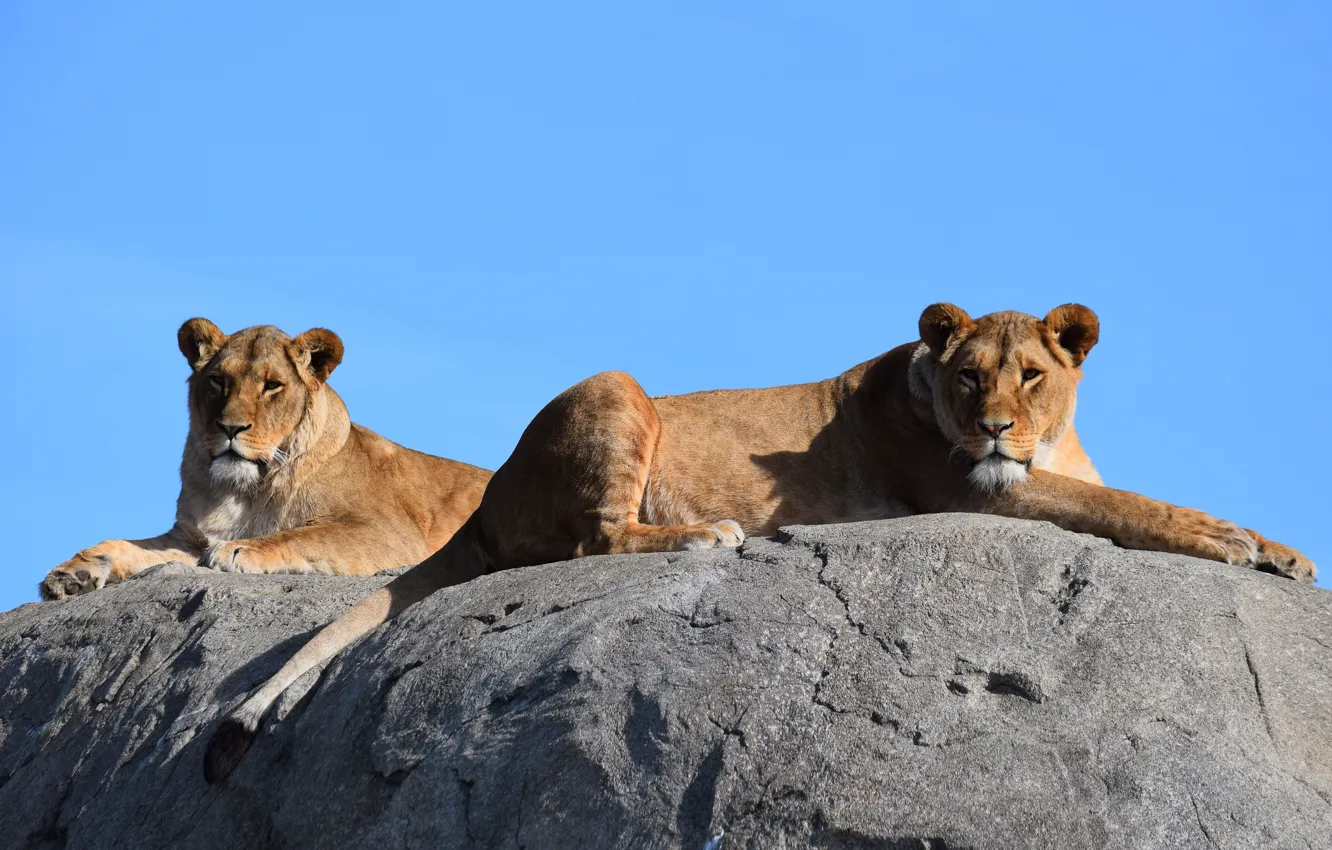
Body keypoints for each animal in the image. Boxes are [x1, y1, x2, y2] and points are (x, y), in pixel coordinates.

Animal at [40, 318, 491, 601]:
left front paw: (240, 549)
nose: (230, 428)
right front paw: (71, 572)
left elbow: (303, 535)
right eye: (217, 381)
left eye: (272, 386)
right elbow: (124, 545)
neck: (247, 490)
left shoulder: (391, 534)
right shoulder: (188, 539)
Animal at [203, 303, 1314, 782]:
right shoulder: (984, 494)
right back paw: (711, 532)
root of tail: (488, 492)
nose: (996, 428)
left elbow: (1129, 493)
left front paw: (1287, 554)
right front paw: (1232, 543)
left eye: (1031, 373)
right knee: (595, 542)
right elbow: (1133, 507)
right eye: (969, 376)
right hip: (617, 392)